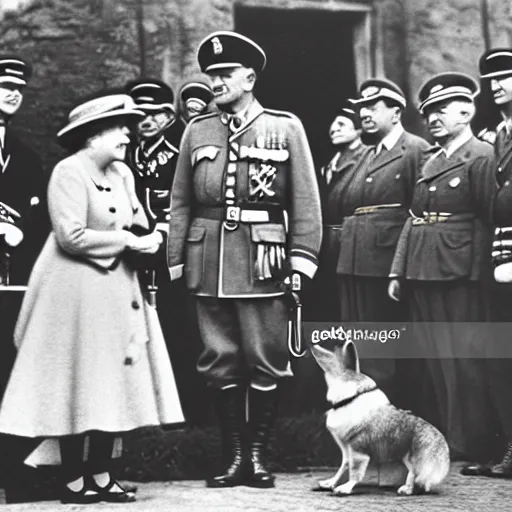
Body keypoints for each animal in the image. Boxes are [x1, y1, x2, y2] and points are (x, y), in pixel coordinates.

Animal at [310, 340, 450, 496]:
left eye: (335, 349)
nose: (312, 344)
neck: (350, 399)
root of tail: (440, 440)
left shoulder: (358, 450)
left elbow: (355, 472)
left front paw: (345, 488)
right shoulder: (346, 448)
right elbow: (343, 467)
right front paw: (330, 483)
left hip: (414, 457)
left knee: (415, 473)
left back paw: (409, 489)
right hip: (406, 456)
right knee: (413, 473)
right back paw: (407, 489)